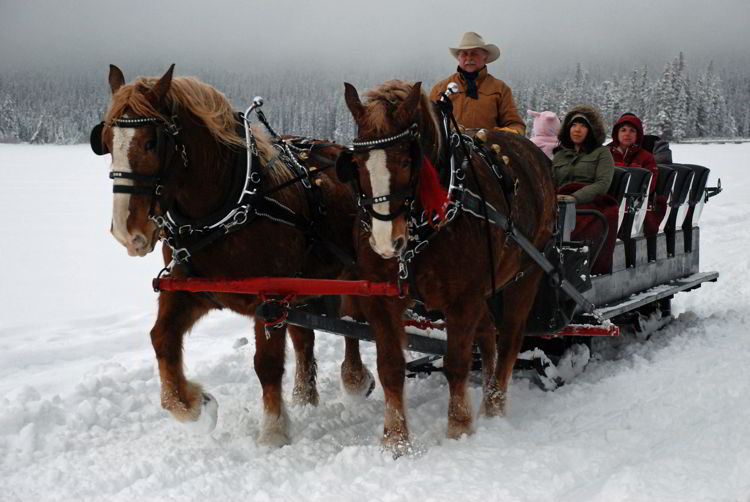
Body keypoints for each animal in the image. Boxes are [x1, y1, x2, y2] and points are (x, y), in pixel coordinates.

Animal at [95, 64, 374, 446]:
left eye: (152, 142)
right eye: (107, 142)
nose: (128, 233)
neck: (229, 205)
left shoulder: (270, 297)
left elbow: (266, 364)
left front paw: (273, 431)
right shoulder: (188, 290)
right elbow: (162, 339)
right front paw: (196, 409)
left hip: (349, 275)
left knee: (352, 324)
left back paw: (355, 380)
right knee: (306, 337)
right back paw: (304, 397)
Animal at [340, 80, 560, 452]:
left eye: (406, 159)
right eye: (356, 161)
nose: (385, 243)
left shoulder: (462, 299)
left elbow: (456, 363)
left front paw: (459, 428)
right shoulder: (383, 300)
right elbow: (389, 367)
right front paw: (395, 441)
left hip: (526, 275)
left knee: (510, 339)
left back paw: (494, 404)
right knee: (488, 336)